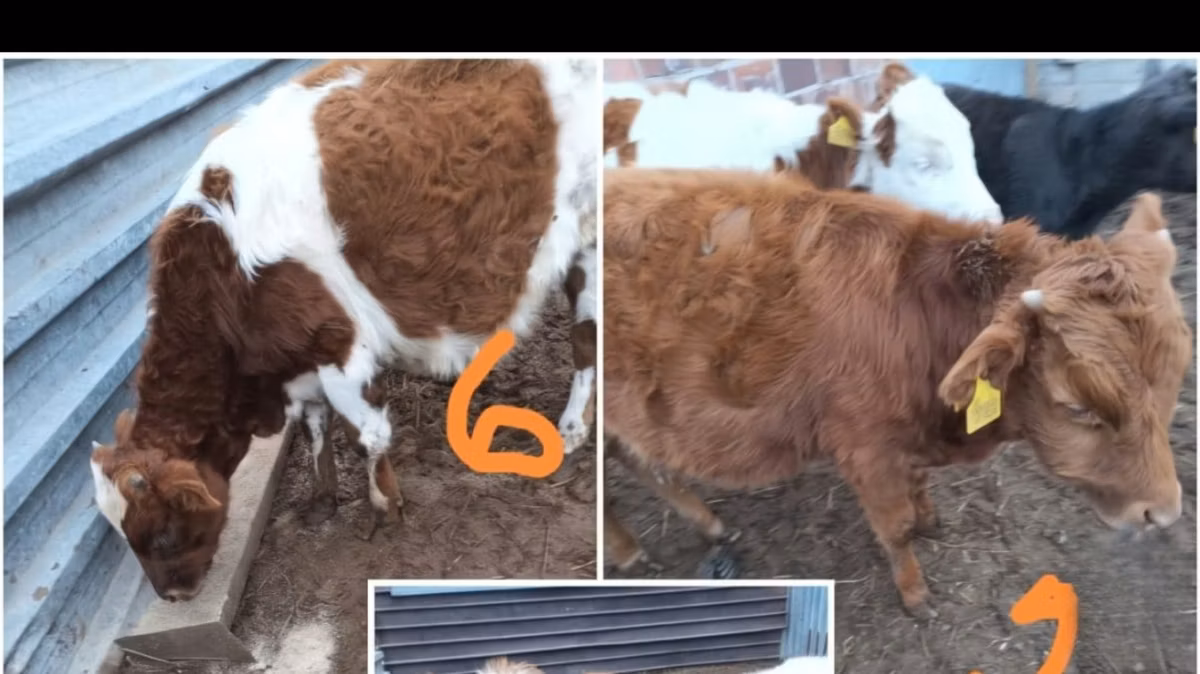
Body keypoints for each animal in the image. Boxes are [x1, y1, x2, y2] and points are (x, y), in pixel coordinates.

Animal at [87, 58, 599, 601]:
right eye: (127, 536)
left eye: (162, 534)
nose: (172, 596)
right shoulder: (299, 361)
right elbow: (316, 429)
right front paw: (321, 500)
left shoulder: (339, 348)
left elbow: (366, 437)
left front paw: (386, 510)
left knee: (588, 341)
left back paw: (572, 431)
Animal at [602, 166, 1191, 618]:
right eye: (1077, 407)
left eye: (1173, 384)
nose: (1162, 514)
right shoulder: (865, 449)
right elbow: (897, 528)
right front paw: (915, 594)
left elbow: (918, 490)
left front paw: (930, 517)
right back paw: (628, 551)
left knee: (637, 459)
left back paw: (709, 524)